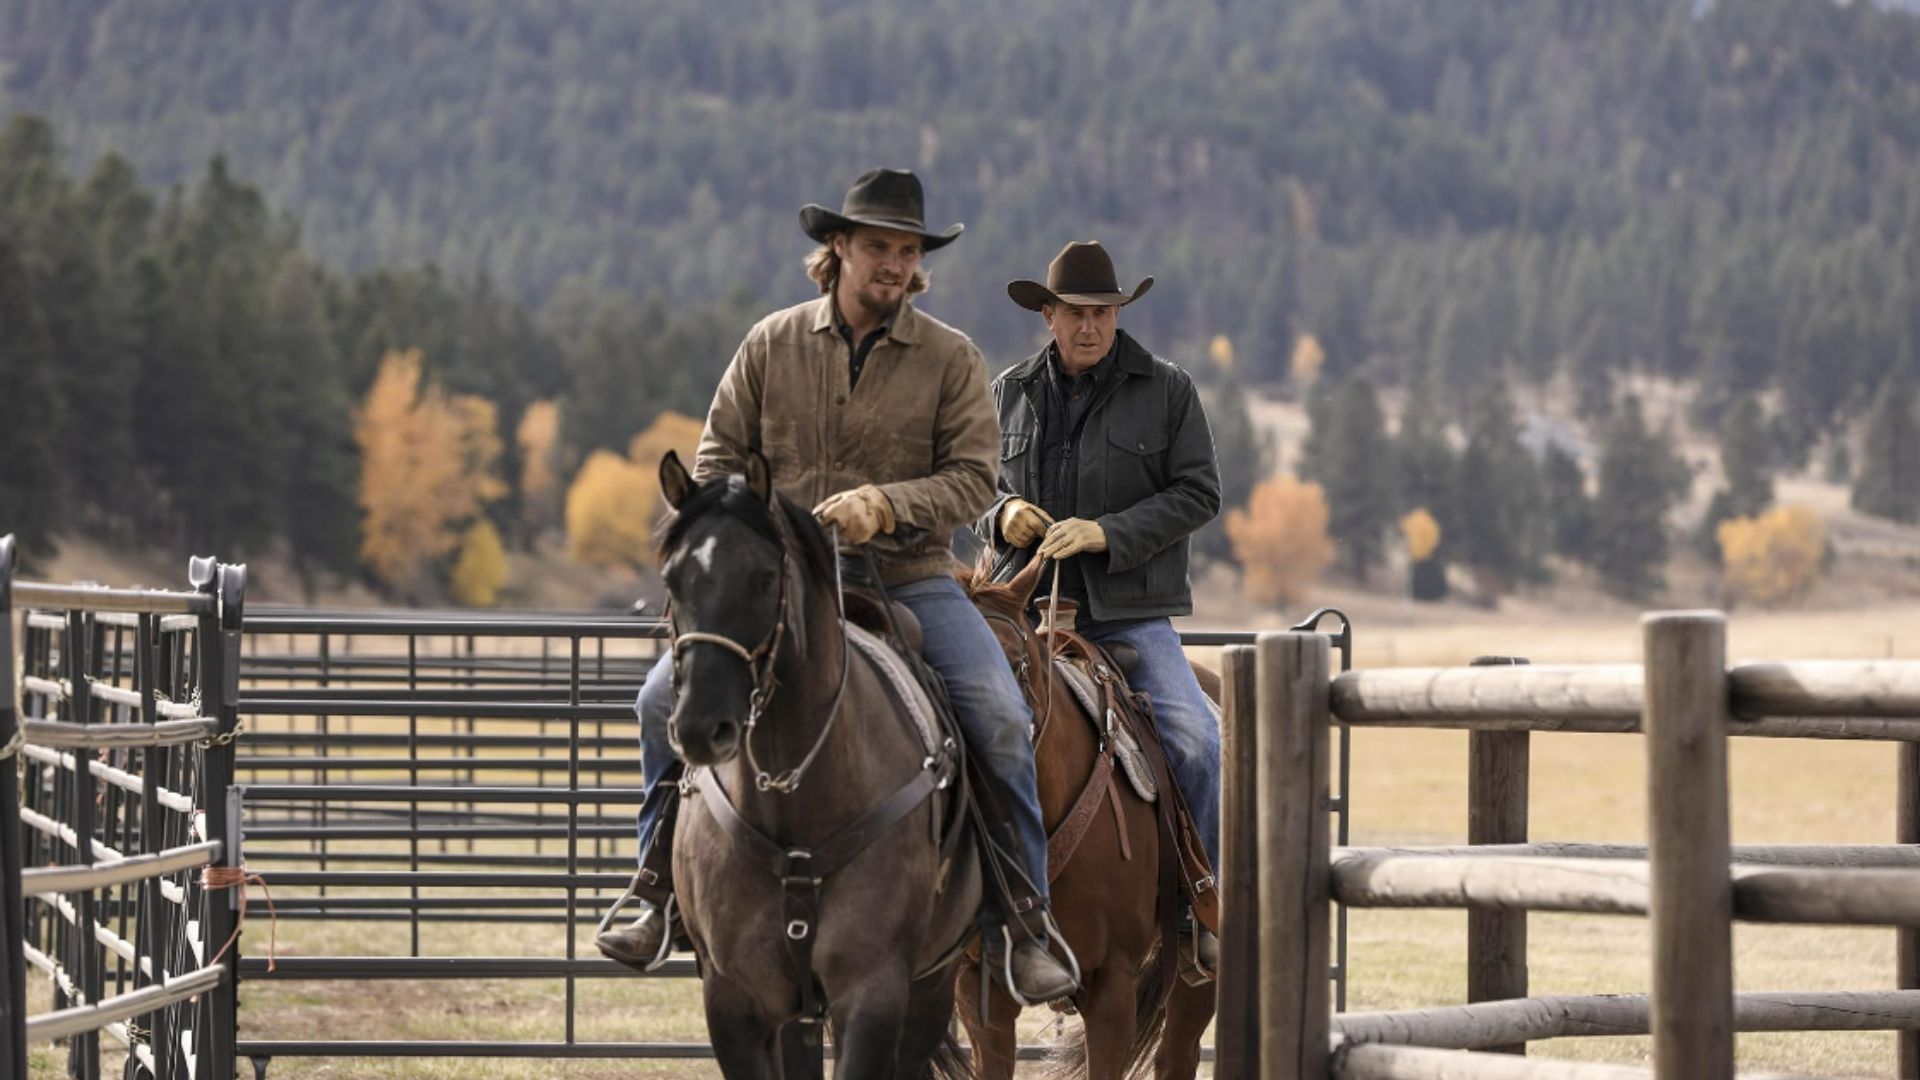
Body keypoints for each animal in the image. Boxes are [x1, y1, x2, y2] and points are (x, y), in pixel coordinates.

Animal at [656, 449, 975, 1068]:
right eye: (672, 578)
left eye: (764, 577)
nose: (702, 727)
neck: (794, 797)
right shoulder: (732, 1000)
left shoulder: (873, 995)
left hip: (932, 985)